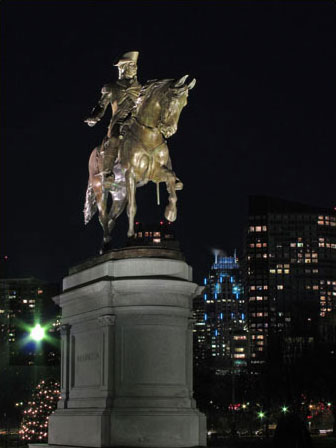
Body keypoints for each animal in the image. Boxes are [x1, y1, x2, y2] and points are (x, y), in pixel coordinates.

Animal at [82, 75, 196, 247]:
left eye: (185, 103)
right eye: (171, 99)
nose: (169, 130)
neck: (148, 135)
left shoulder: (156, 173)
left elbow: (171, 181)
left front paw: (170, 213)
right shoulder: (131, 173)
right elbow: (132, 207)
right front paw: (131, 235)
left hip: (120, 194)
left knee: (111, 218)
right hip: (99, 188)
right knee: (103, 215)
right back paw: (107, 241)